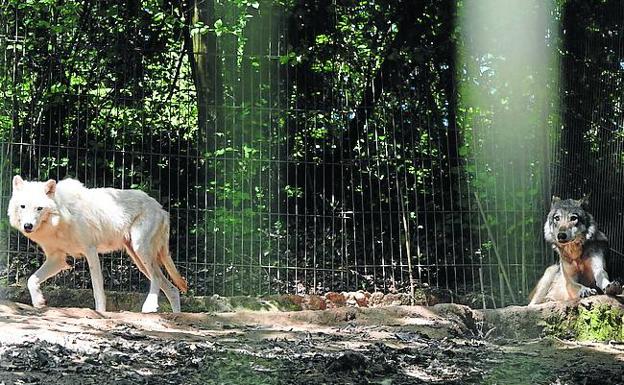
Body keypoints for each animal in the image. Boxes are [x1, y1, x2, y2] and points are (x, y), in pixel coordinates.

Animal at [7, 174, 188, 312]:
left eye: (39, 208)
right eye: (23, 206)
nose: (28, 226)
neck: (61, 221)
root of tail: (161, 209)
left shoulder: (90, 251)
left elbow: (98, 290)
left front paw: (100, 312)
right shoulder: (57, 258)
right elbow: (31, 280)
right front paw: (38, 302)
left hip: (140, 250)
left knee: (157, 278)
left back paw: (149, 307)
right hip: (138, 258)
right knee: (172, 289)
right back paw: (175, 317)